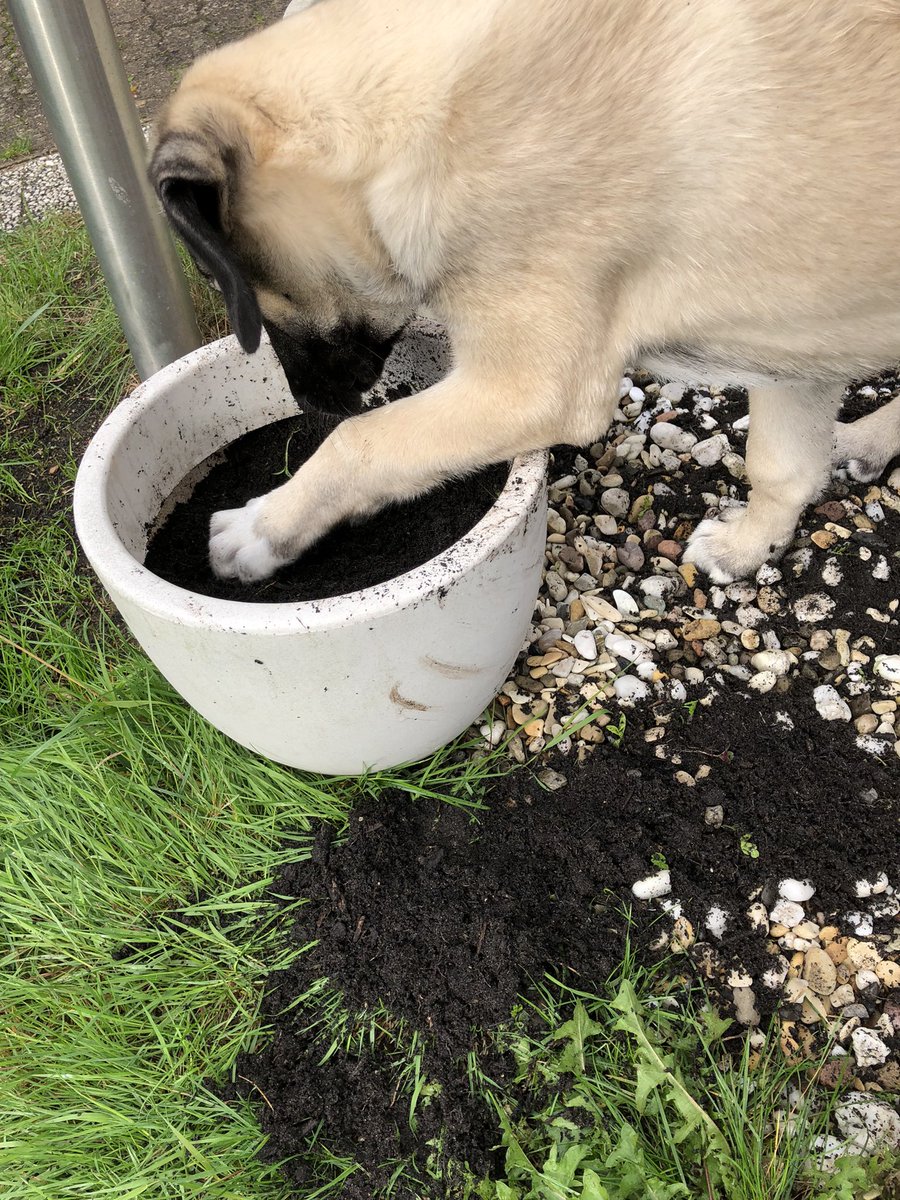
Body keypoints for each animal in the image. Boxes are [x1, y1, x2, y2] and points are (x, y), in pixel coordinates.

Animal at [150, 0, 900, 583]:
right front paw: (751, 548)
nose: (308, 406)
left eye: (230, 284)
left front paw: (264, 527)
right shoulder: (801, 347)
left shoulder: (531, 388)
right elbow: (783, 466)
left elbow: (365, 441)